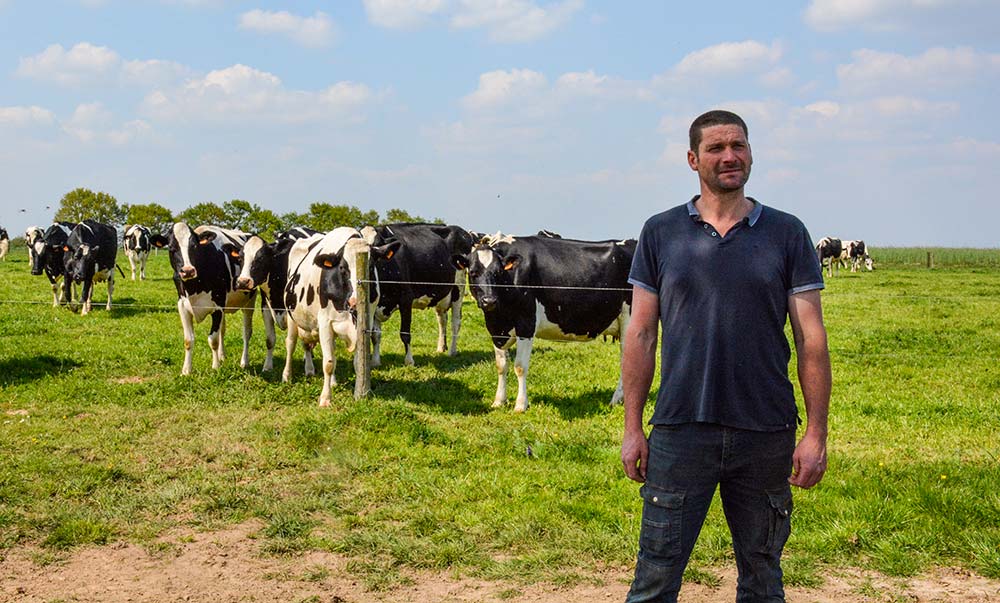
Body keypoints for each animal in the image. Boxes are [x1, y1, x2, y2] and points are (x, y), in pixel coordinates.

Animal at [157, 219, 258, 376]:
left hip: (250, 301)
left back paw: (244, 362)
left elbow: (213, 339)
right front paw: (186, 370)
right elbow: (188, 340)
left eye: (194, 246)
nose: (188, 271)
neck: (194, 286)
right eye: (172, 248)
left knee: (246, 332)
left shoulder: (217, 307)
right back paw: (222, 356)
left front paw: (215, 367)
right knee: (223, 329)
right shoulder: (183, 306)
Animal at [235, 226, 320, 372]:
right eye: (241, 258)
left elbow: (304, 342)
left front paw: (309, 369)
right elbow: (270, 340)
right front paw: (267, 366)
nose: (243, 282)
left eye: (261, 258)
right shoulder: (266, 307)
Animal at [282, 229, 398, 408]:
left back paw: (326, 378)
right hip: (291, 316)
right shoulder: (324, 323)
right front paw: (325, 399)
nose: (354, 301)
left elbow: (357, 361)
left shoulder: (365, 323)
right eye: (342, 268)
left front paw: (360, 393)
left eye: (371, 267)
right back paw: (287, 376)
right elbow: (328, 362)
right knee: (290, 344)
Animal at [362, 223, 474, 368]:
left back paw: (452, 351)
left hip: (458, 288)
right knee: (442, 320)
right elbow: (375, 335)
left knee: (456, 322)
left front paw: (409, 361)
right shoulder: (376, 304)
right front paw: (375, 361)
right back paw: (441, 348)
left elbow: (405, 333)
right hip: (441, 294)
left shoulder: (406, 299)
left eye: (376, 248)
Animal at [454, 234, 632, 412]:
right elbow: (501, 365)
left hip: (629, 320)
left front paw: (521, 404)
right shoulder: (496, 329)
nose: (489, 300)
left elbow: (520, 366)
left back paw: (616, 399)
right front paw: (499, 401)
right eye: (473, 272)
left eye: (498, 272)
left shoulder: (526, 323)